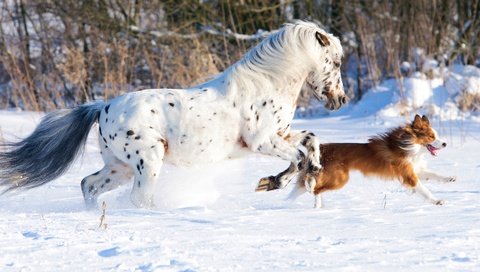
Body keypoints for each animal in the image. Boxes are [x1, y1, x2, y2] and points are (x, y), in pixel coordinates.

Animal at [0, 21, 344, 208]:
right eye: (337, 61)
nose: (340, 100)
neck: (266, 82)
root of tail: (102, 108)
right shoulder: (262, 142)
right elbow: (298, 156)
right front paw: (275, 182)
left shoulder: (281, 134)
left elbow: (311, 139)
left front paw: (308, 172)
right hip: (147, 162)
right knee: (136, 198)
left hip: (120, 167)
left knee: (88, 184)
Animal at [290, 115, 456, 208]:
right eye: (431, 137)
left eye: (436, 136)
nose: (445, 144)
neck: (408, 146)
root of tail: (321, 149)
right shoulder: (409, 175)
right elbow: (425, 190)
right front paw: (437, 201)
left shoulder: (414, 169)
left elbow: (434, 174)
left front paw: (449, 178)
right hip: (339, 179)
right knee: (316, 189)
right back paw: (317, 207)